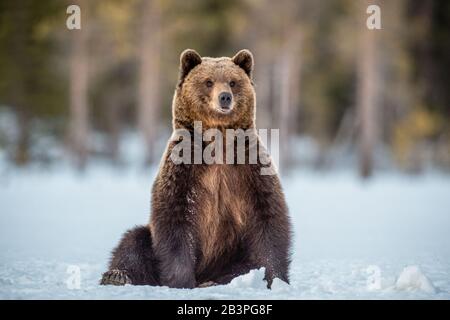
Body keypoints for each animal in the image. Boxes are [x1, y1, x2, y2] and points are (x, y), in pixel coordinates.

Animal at [99, 48, 292, 288]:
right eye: (208, 81)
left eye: (233, 82)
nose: (225, 97)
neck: (217, 140)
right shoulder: (184, 170)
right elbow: (174, 221)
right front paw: (181, 279)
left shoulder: (250, 169)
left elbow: (269, 217)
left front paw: (274, 278)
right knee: (134, 241)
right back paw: (117, 275)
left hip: (233, 253)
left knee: (242, 264)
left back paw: (217, 281)